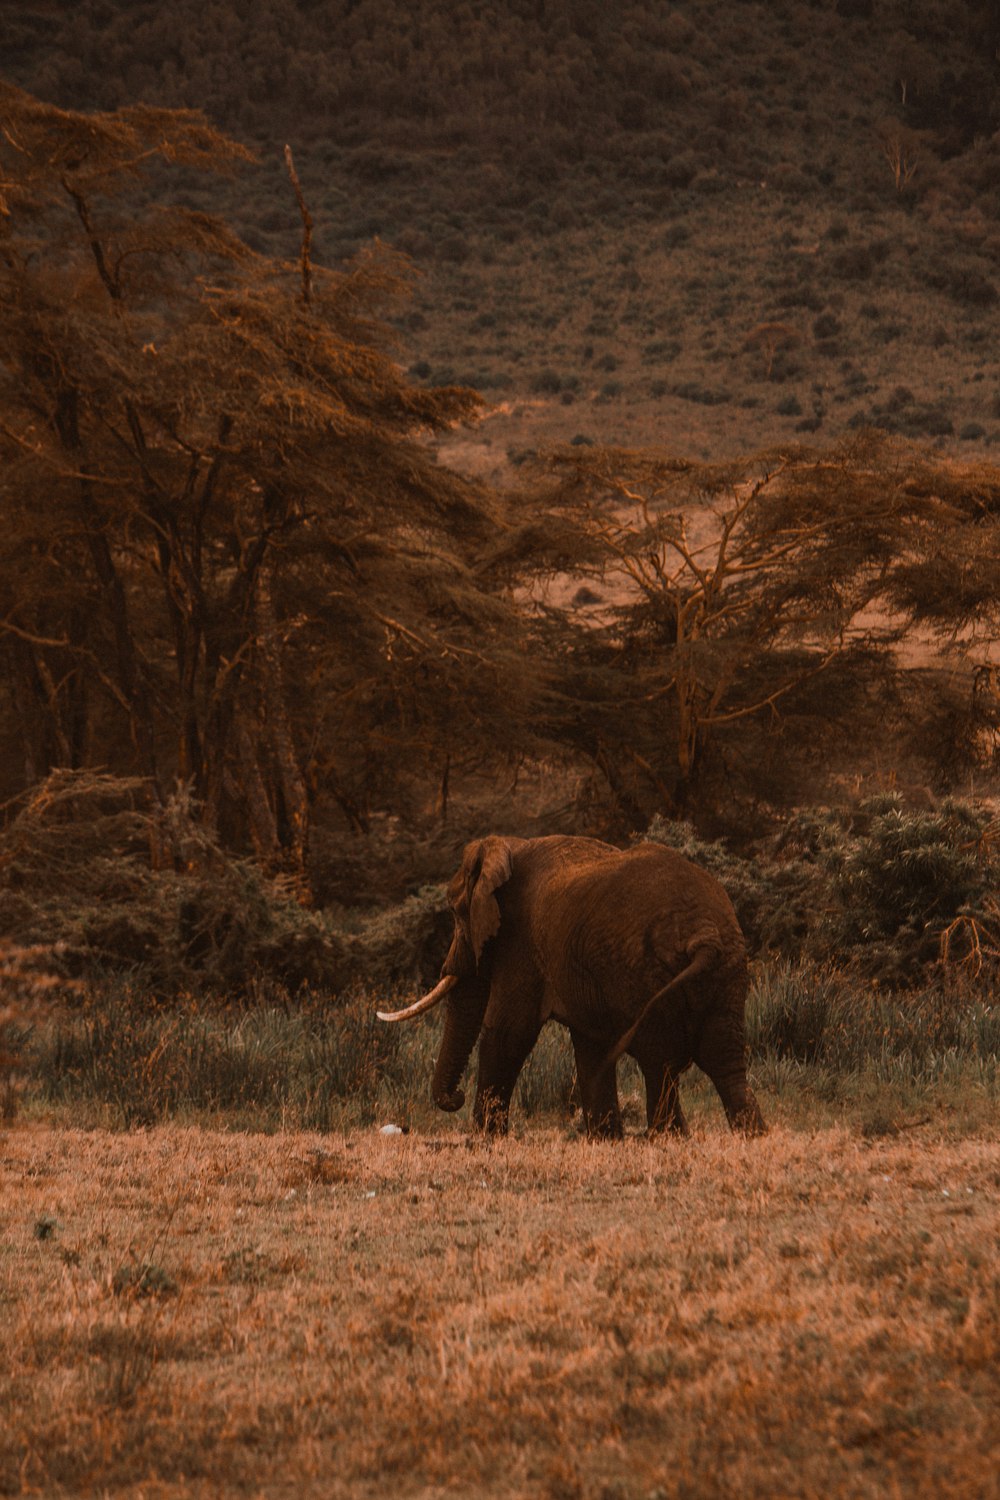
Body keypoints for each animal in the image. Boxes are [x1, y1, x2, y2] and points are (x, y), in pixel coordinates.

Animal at [377, 840, 767, 1140]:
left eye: (457, 914)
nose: (454, 1097)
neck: (508, 847)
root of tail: (705, 935)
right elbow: (591, 1044)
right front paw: (606, 1139)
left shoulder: (521, 941)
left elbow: (508, 1031)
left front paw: (483, 1140)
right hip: (727, 969)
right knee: (723, 1058)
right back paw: (749, 1135)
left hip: (648, 973)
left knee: (660, 1058)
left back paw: (667, 1138)